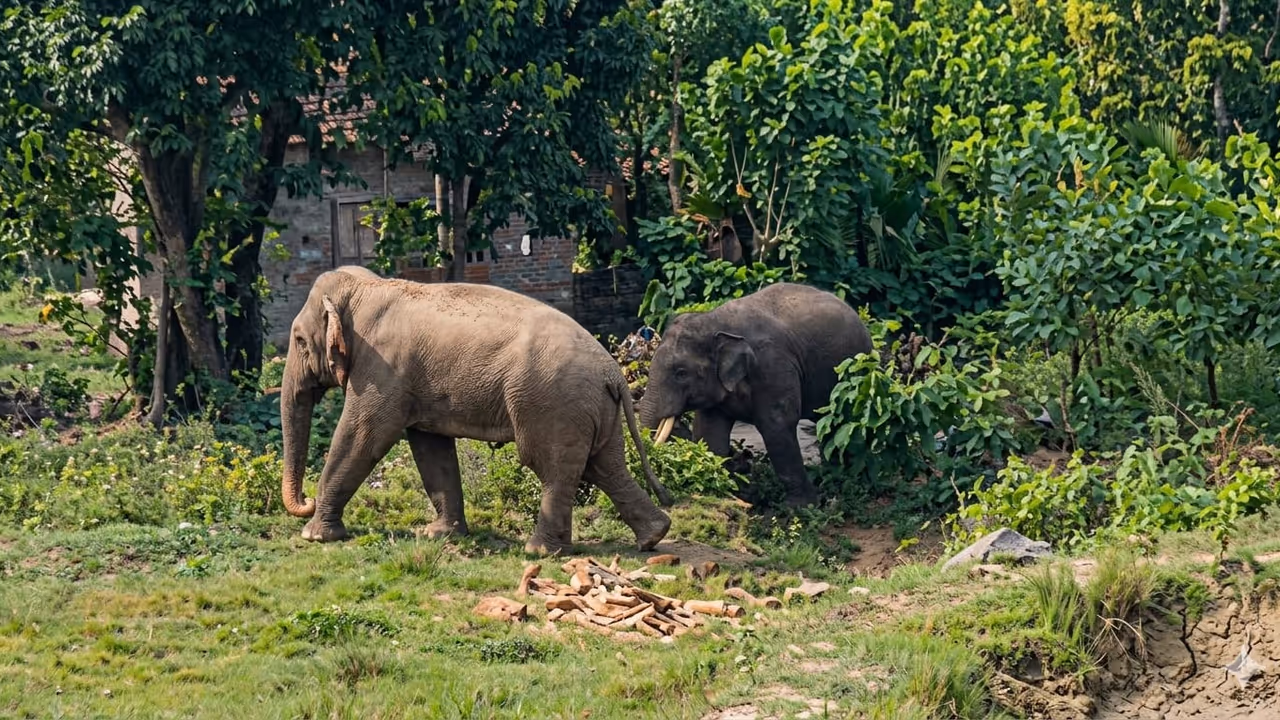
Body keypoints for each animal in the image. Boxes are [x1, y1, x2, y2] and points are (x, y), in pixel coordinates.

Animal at [280, 265, 674, 555]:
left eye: (299, 341)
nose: (307, 501)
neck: (367, 288)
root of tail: (613, 372)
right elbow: (431, 448)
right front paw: (441, 534)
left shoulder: (383, 371)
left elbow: (361, 436)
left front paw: (314, 536)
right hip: (594, 409)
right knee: (605, 466)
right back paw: (652, 536)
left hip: (554, 406)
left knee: (553, 468)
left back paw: (539, 552)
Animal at [638, 282, 872, 506]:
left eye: (681, 373)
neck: (716, 321)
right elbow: (709, 432)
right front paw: (726, 494)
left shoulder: (772, 367)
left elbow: (777, 425)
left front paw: (799, 507)